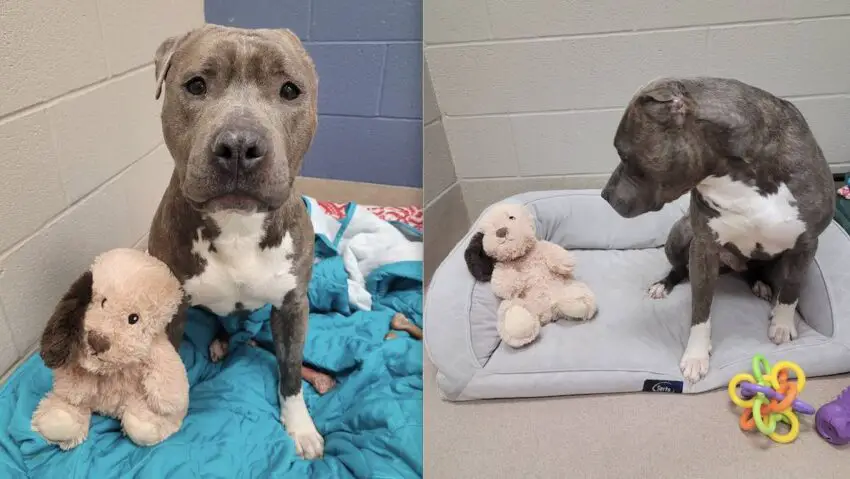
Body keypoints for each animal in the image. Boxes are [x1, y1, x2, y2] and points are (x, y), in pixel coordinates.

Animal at [31, 249, 189, 452]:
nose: (96, 341)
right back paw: (59, 418)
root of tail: (106, 409)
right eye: (103, 302)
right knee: (68, 410)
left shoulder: (157, 349)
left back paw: (149, 423)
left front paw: (168, 403)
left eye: (133, 318)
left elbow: (168, 377)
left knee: (140, 426)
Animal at [147, 24, 326, 460]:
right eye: (196, 85)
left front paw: (300, 427)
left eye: (290, 90)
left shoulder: (293, 306)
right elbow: (170, 366)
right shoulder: (172, 312)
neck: (237, 225)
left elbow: (291, 371)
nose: (240, 146)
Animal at [600, 79, 832, 386]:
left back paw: (760, 284)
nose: (605, 195)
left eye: (623, 154)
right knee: (679, 268)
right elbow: (700, 307)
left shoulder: (806, 243)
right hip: (681, 234)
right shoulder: (704, 246)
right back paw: (663, 284)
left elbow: (792, 288)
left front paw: (782, 324)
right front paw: (696, 356)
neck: (739, 174)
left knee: (756, 271)